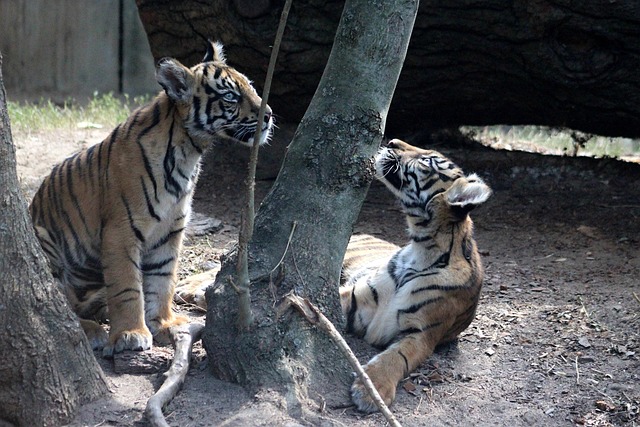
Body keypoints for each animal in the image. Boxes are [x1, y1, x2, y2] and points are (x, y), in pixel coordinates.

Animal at [29, 41, 274, 357]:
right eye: (231, 96)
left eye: (251, 87)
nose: (269, 114)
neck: (188, 153)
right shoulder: (121, 231)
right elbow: (127, 286)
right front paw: (131, 334)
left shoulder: (170, 228)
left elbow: (163, 278)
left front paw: (163, 322)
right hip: (43, 238)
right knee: (60, 304)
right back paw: (91, 330)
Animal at [340, 138, 492, 412]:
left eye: (426, 161)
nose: (392, 141)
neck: (422, 248)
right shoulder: (355, 299)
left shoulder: (422, 333)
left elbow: (395, 357)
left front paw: (371, 390)